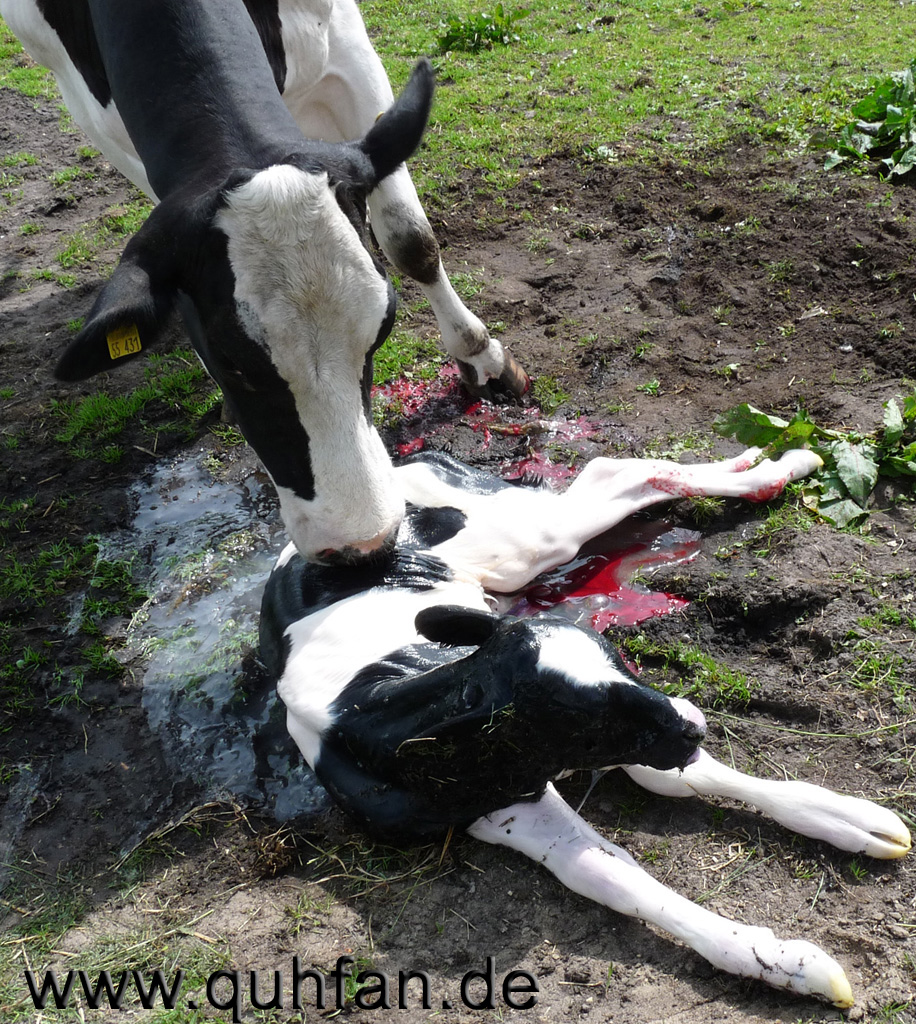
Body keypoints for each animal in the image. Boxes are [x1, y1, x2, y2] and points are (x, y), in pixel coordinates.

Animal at [1, 0, 532, 561]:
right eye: (230, 363)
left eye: (383, 329)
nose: (361, 542)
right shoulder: (103, 119)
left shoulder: (348, 48)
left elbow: (411, 238)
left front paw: (483, 357)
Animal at [262, 450, 912, 1007]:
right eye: (579, 718)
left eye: (616, 653)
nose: (694, 721)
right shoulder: (510, 802)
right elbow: (610, 869)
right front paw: (786, 960)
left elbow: (680, 779)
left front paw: (845, 816)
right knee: (618, 475)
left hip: (518, 541)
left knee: (618, 470)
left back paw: (782, 467)